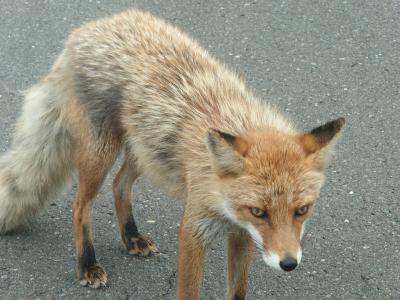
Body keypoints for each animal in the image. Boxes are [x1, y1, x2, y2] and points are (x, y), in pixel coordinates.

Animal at [0, 9, 344, 300]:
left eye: (302, 210)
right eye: (260, 212)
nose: (289, 263)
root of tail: (93, 26)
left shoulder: (242, 234)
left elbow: (237, 291)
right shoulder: (194, 229)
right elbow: (188, 290)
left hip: (145, 149)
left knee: (120, 184)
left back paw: (131, 237)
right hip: (101, 152)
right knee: (80, 205)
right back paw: (87, 263)